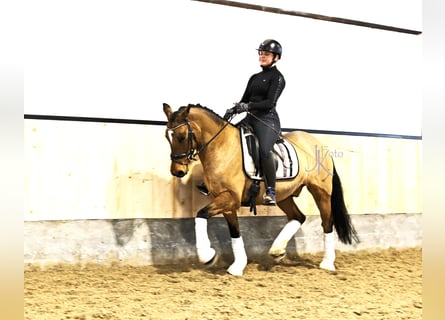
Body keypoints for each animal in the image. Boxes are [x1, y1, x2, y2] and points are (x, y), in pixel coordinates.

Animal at [162, 102, 358, 276]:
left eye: (181, 136)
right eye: (167, 136)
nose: (177, 171)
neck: (222, 147)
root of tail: (316, 142)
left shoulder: (230, 198)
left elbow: (201, 214)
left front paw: (207, 255)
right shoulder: (225, 201)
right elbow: (234, 231)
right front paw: (237, 266)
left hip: (320, 192)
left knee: (327, 222)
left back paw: (327, 263)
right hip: (283, 196)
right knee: (298, 217)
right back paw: (277, 250)